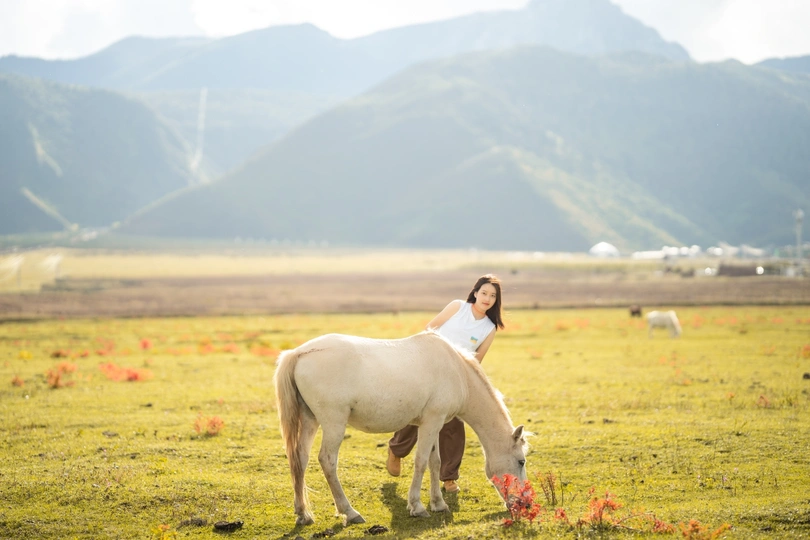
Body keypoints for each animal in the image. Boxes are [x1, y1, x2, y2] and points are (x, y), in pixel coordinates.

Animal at [274, 331, 528, 526]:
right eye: (521, 461)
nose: (525, 503)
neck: (457, 371)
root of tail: (299, 353)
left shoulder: (434, 424)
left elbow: (435, 462)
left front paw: (438, 503)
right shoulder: (432, 422)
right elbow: (421, 462)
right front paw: (417, 506)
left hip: (310, 420)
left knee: (300, 459)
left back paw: (303, 514)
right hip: (333, 424)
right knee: (327, 461)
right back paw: (350, 512)